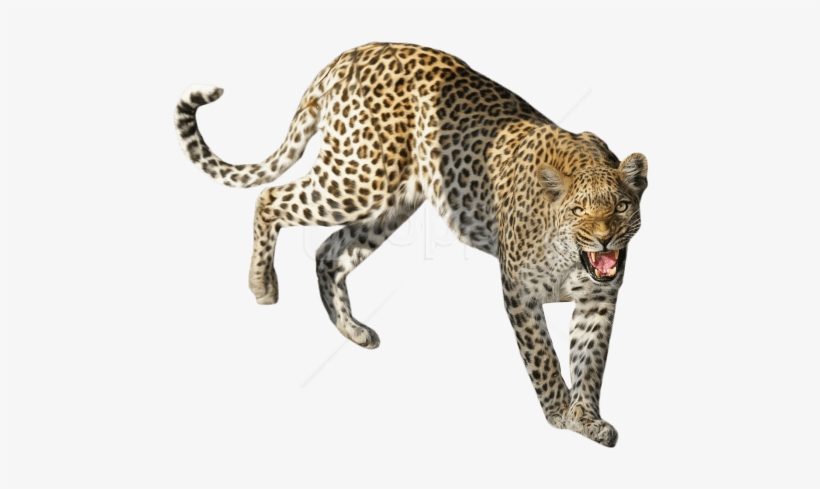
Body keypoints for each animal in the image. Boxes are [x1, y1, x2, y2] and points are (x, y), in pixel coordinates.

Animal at [174, 42, 648, 447]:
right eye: (579, 210)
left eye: (622, 206)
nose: (604, 237)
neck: (571, 256)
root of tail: (350, 54)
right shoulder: (519, 290)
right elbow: (543, 357)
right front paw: (558, 413)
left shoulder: (599, 300)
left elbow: (590, 361)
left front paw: (586, 419)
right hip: (358, 178)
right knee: (270, 198)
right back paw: (262, 285)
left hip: (389, 203)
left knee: (329, 252)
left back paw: (353, 331)